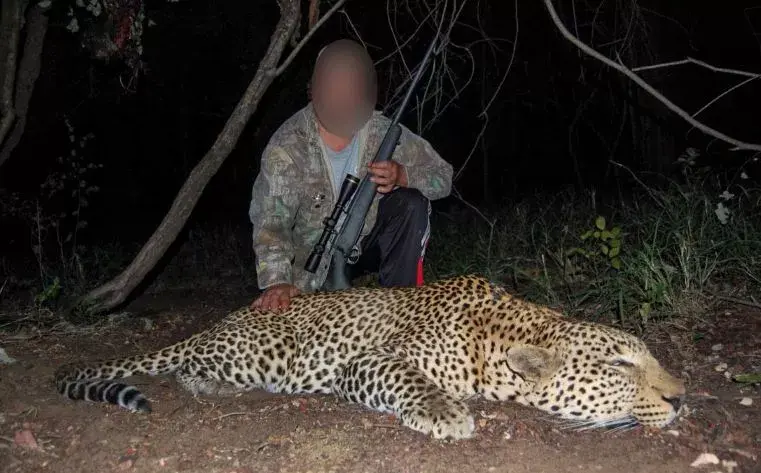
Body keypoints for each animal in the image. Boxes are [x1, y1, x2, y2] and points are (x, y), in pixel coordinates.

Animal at [55, 275, 686, 440]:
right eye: (620, 365)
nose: (683, 398)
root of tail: (222, 321)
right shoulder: (366, 363)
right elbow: (409, 379)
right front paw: (446, 413)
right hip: (261, 351)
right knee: (187, 368)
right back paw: (220, 388)